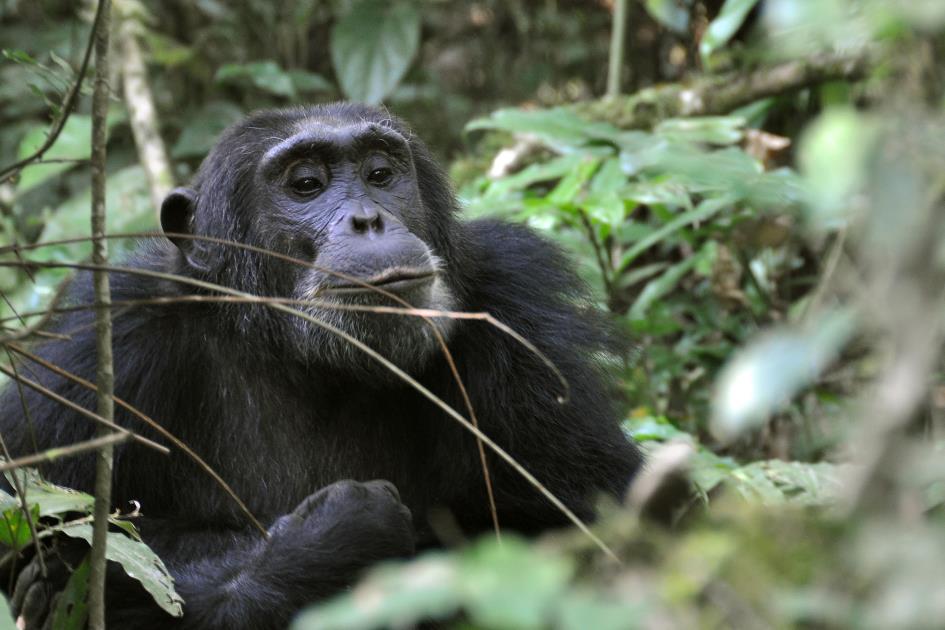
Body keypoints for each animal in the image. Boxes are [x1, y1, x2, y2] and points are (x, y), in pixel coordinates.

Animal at [0, 101, 640, 628]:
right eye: (306, 185)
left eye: (381, 175)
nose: (368, 219)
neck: (303, 356)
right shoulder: (98, 342)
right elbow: (29, 516)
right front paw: (329, 541)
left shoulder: (518, 310)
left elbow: (588, 531)